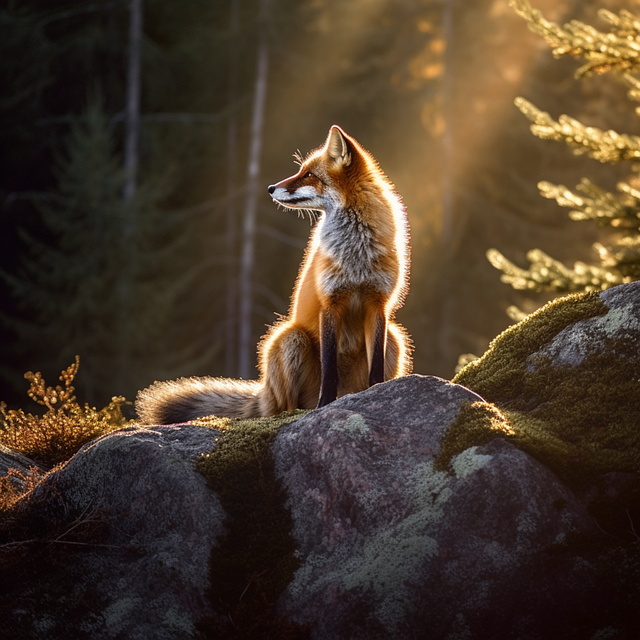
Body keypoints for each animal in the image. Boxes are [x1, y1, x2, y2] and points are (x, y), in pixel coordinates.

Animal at [136, 125, 411, 424]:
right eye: (302, 170)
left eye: (309, 174)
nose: (269, 188)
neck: (356, 253)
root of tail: (264, 391)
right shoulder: (330, 303)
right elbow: (329, 370)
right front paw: (324, 405)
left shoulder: (378, 304)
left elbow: (376, 369)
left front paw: (378, 394)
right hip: (290, 338)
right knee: (283, 407)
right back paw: (297, 412)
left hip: (395, 338)